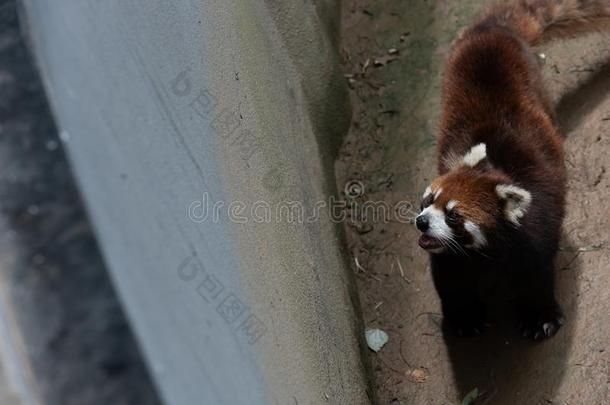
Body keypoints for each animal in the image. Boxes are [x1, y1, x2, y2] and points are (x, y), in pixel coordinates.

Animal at [416, 0, 608, 340]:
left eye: (453, 215)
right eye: (429, 200)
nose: (421, 222)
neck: (484, 252)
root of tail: (492, 29)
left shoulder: (538, 230)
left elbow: (536, 276)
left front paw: (539, 316)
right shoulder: (448, 256)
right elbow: (451, 282)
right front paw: (465, 318)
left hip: (537, 85)